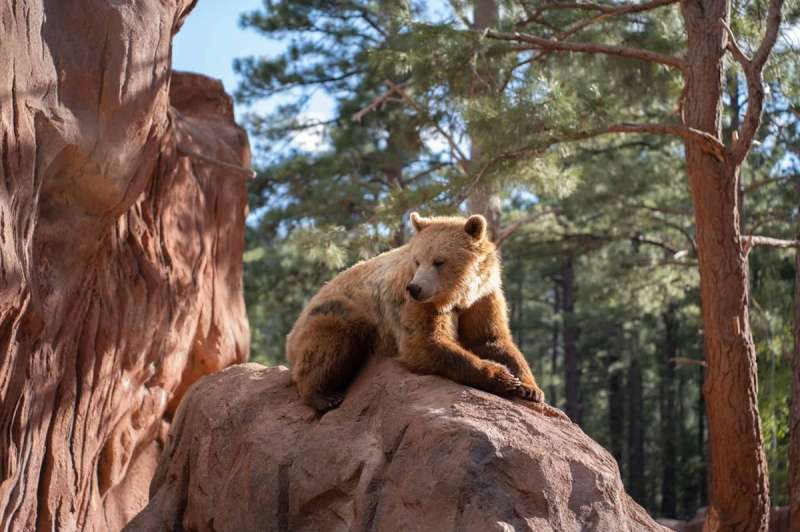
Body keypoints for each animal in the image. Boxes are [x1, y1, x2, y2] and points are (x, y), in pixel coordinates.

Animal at [286, 212, 545, 412]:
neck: (459, 293)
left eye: (439, 261)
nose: (415, 288)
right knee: (331, 345)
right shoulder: (416, 304)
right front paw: (503, 378)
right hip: (340, 312)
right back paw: (324, 396)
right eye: (418, 260)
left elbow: (492, 339)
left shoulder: (482, 298)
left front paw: (530, 388)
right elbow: (426, 342)